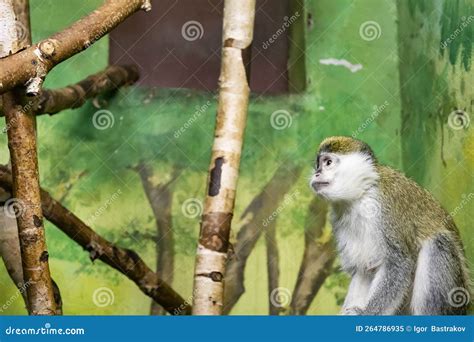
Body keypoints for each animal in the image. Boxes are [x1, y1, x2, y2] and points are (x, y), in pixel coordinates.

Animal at [310, 136, 468, 316]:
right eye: (318, 164)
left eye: (328, 162)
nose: (316, 173)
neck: (362, 194)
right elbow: (363, 270)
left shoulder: (385, 208)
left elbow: (398, 265)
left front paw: (366, 314)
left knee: (439, 243)